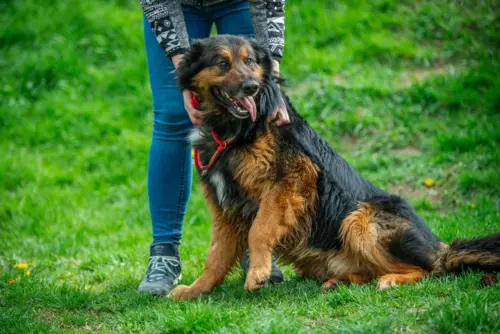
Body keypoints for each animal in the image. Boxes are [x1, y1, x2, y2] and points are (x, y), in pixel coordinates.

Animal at [169, 34, 500, 300]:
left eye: (250, 61)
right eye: (222, 63)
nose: (251, 87)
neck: (235, 130)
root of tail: (440, 247)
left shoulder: (292, 181)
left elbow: (259, 230)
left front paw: (258, 272)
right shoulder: (224, 207)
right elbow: (216, 255)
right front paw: (197, 289)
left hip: (359, 219)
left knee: (432, 269)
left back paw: (391, 279)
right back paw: (341, 281)